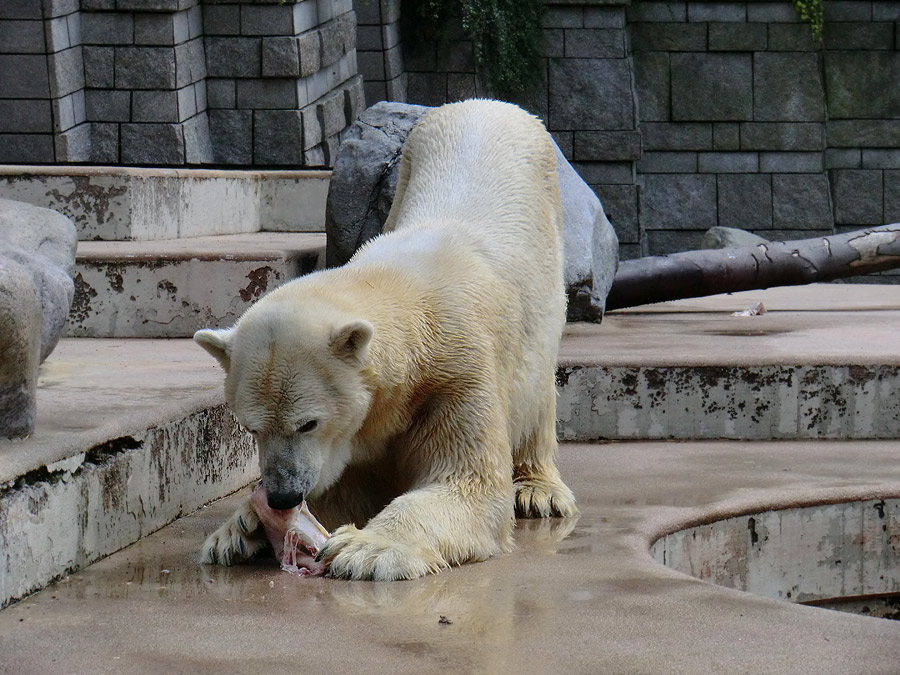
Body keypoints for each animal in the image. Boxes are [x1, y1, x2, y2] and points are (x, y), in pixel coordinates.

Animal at [194, 100, 580, 580]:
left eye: (308, 423)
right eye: (251, 427)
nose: (283, 495)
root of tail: (486, 105)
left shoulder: (455, 376)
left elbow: (467, 484)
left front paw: (365, 548)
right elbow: (341, 489)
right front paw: (239, 530)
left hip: (546, 260)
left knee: (538, 389)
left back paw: (537, 490)